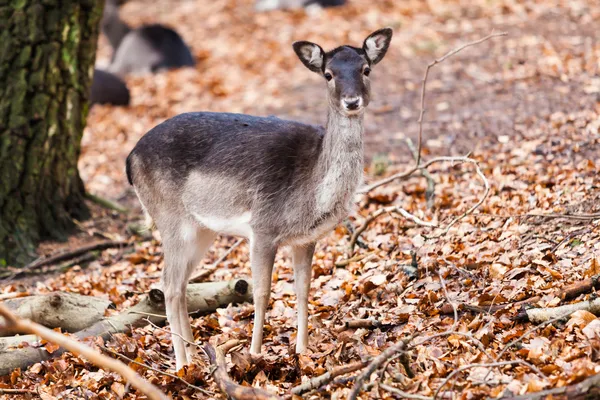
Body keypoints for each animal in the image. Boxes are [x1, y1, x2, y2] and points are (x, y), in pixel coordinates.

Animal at [126, 28, 394, 372]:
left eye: (366, 69)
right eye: (328, 74)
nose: (351, 102)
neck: (311, 194)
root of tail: (130, 159)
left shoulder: (305, 239)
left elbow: (304, 289)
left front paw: (302, 350)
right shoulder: (263, 228)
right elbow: (262, 292)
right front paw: (255, 354)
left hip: (201, 230)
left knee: (182, 285)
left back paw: (197, 354)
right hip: (170, 218)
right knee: (169, 287)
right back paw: (182, 363)